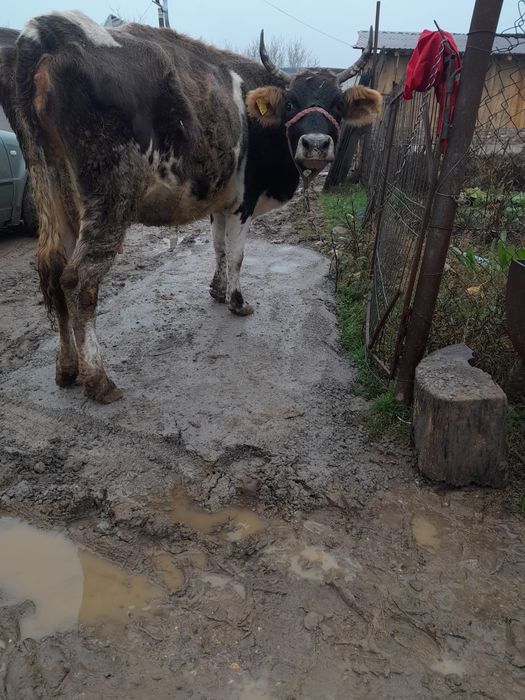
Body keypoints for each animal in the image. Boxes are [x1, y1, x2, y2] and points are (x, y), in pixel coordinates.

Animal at [0, 11, 381, 404]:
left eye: (337, 105)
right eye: (291, 103)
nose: (316, 144)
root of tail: (50, 31)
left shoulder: (219, 201)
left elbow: (218, 247)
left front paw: (217, 290)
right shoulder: (244, 201)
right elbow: (237, 255)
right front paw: (238, 302)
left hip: (51, 187)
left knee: (52, 270)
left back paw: (67, 369)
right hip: (108, 197)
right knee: (79, 279)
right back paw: (98, 380)